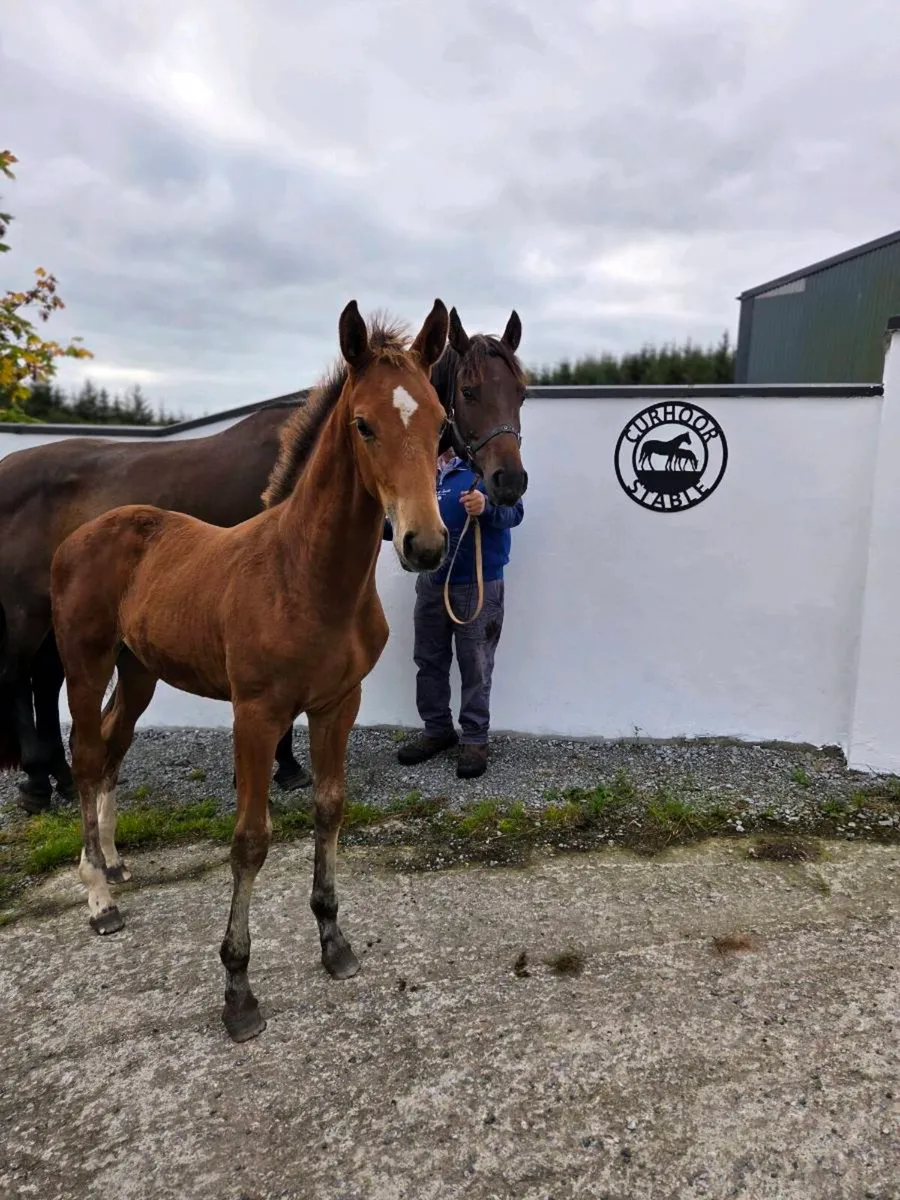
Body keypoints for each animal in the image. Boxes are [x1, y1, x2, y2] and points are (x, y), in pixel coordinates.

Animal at [0, 307, 528, 812]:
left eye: (521, 393)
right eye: (469, 391)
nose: (509, 481)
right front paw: (284, 766)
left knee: (47, 682)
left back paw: (63, 779)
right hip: (27, 614)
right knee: (21, 679)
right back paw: (37, 783)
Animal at [50, 299, 451, 1043]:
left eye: (441, 423)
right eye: (363, 424)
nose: (426, 545)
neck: (306, 576)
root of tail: (82, 534)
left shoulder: (337, 703)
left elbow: (329, 808)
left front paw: (333, 942)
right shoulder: (257, 714)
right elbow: (250, 840)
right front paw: (238, 989)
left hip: (140, 671)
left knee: (113, 748)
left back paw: (115, 865)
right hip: (84, 663)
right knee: (86, 755)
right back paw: (96, 897)